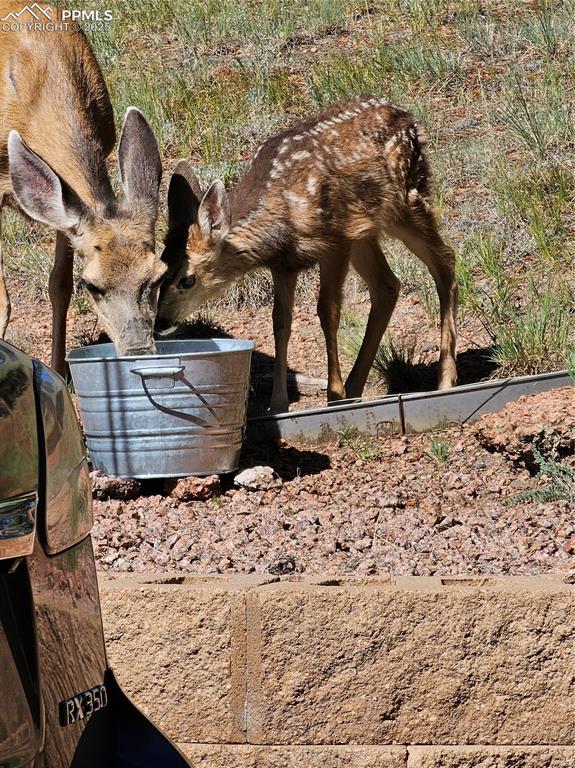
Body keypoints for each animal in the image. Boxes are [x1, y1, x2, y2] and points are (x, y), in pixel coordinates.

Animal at [0, 9, 166, 375]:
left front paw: (60, 371)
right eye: (92, 285)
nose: (138, 350)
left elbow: (58, 285)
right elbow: (2, 299)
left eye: (158, 276)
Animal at [156, 97, 458, 413]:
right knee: (388, 284)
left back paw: (445, 379)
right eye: (160, 274)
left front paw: (333, 395)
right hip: (366, 228)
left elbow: (327, 310)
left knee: (446, 260)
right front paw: (277, 404)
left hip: (405, 199)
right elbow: (280, 323)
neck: (281, 218)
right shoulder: (284, 263)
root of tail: (407, 116)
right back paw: (355, 388)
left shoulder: (335, 240)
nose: (160, 321)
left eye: (187, 280)